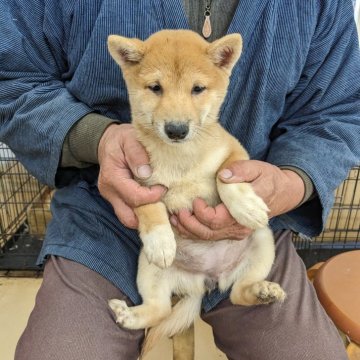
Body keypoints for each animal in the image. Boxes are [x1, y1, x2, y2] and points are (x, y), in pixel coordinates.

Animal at [107, 28, 286, 354]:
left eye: (198, 89)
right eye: (155, 88)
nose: (176, 130)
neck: (181, 160)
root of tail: (206, 280)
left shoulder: (235, 153)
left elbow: (227, 178)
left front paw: (246, 207)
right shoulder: (136, 179)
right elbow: (148, 206)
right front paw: (160, 239)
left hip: (262, 245)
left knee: (238, 293)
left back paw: (262, 291)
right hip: (149, 270)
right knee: (160, 309)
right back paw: (128, 315)